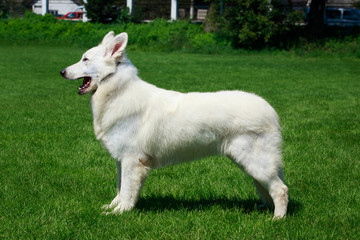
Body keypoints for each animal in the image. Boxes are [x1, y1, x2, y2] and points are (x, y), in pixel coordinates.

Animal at [60, 31, 288, 219]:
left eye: (85, 59)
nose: (61, 72)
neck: (116, 91)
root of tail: (270, 110)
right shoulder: (121, 161)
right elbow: (120, 188)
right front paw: (113, 207)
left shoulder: (132, 161)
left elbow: (126, 191)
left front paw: (120, 212)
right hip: (250, 164)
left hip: (255, 163)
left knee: (281, 190)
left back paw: (277, 219)